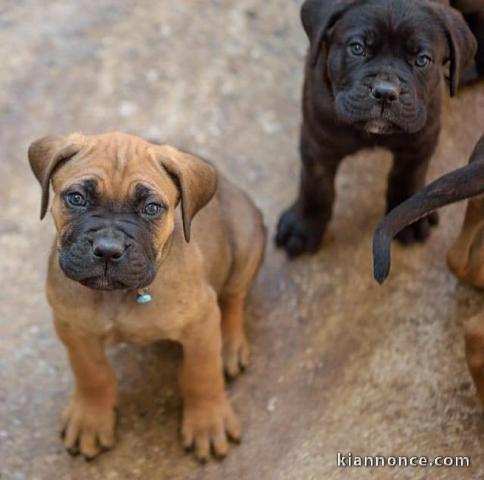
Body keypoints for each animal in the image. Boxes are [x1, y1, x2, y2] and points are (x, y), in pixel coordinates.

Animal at [28, 131, 266, 462]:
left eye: (151, 208)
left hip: (245, 243)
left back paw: (229, 345)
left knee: (233, 298)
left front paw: (207, 422)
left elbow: (201, 373)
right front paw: (90, 418)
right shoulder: (73, 328)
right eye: (76, 198)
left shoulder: (201, 323)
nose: (108, 249)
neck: (120, 295)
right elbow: (91, 373)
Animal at [276, 0, 476, 258]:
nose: (385, 93)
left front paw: (408, 221)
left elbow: (408, 178)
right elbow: (315, 186)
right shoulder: (318, 141)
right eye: (357, 48)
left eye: (422, 60)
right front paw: (302, 227)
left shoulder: (420, 141)